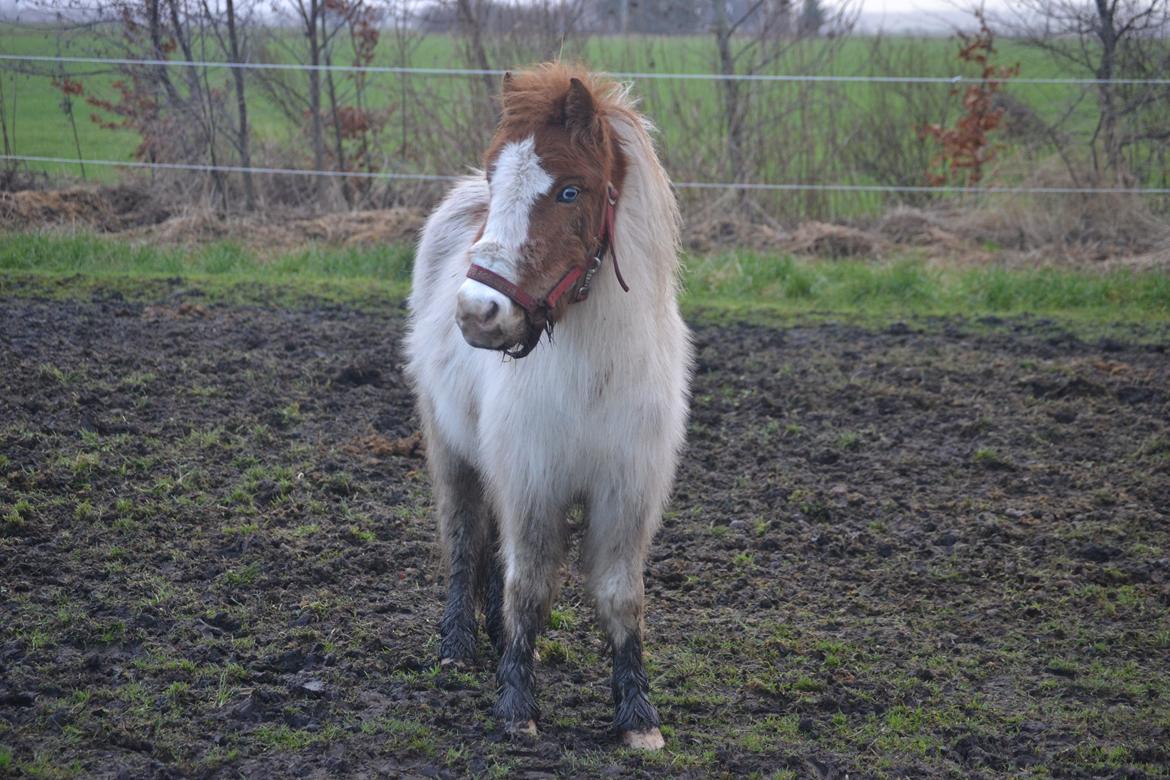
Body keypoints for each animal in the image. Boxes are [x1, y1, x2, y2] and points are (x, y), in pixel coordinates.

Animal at [404, 62, 687, 748]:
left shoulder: (625, 493)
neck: (596, 372)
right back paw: (458, 647)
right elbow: (528, 586)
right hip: (452, 453)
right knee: (463, 541)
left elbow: (619, 596)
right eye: (494, 177)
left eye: (569, 191)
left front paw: (638, 720)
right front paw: (516, 707)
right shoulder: (532, 482)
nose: (477, 313)